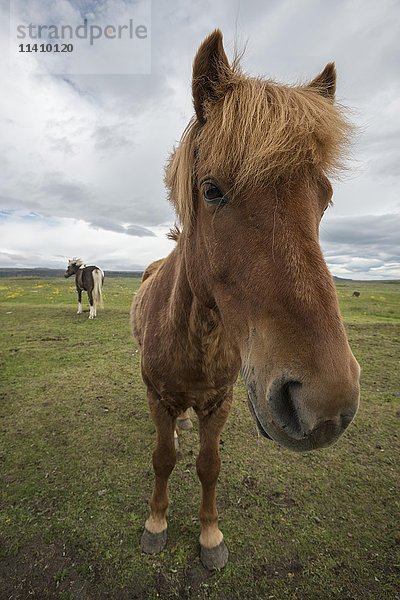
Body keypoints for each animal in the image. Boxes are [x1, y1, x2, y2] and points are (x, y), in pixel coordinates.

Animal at [131, 29, 360, 572]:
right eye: (211, 190)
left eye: (325, 198)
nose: (325, 403)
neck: (196, 336)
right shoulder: (158, 397)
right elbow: (163, 459)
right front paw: (156, 524)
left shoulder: (221, 402)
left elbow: (209, 465)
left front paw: (210, 536)